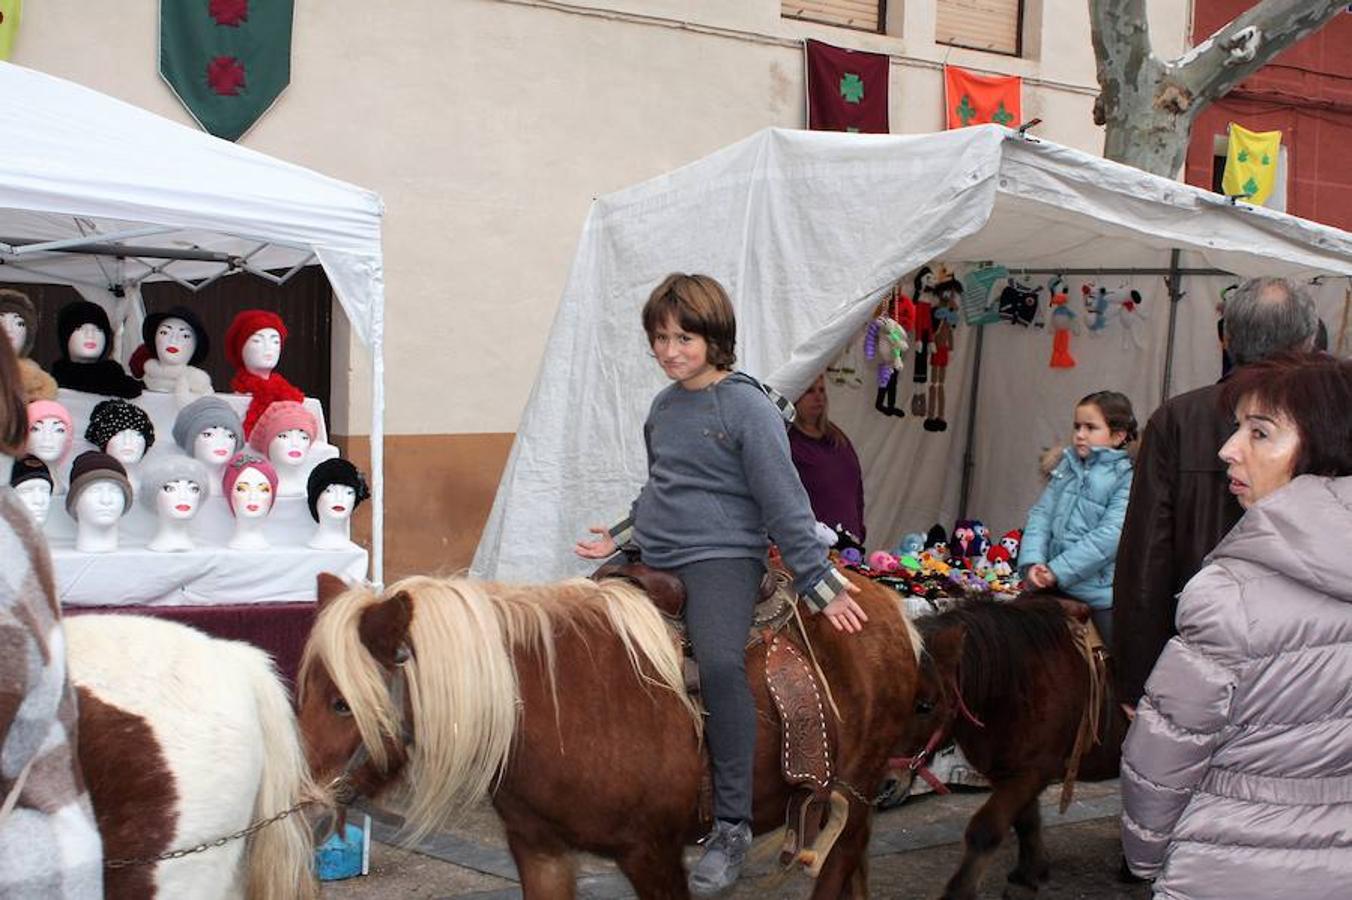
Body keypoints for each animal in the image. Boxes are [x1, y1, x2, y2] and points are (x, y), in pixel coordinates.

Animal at [300, 570, 924, 891]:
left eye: (340, 704)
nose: (302, 802)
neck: (553, 704)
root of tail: (888, 603)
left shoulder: (654, 856)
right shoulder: (540, 853)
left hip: (856, 794)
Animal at [897, 594, 1130, 897]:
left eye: (925, 705)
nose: (884, 783)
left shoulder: (1033, 771)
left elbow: (986, 829)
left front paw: (960, 890)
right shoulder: (1007, 771)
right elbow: (1025, 821)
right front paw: (1031, 872)